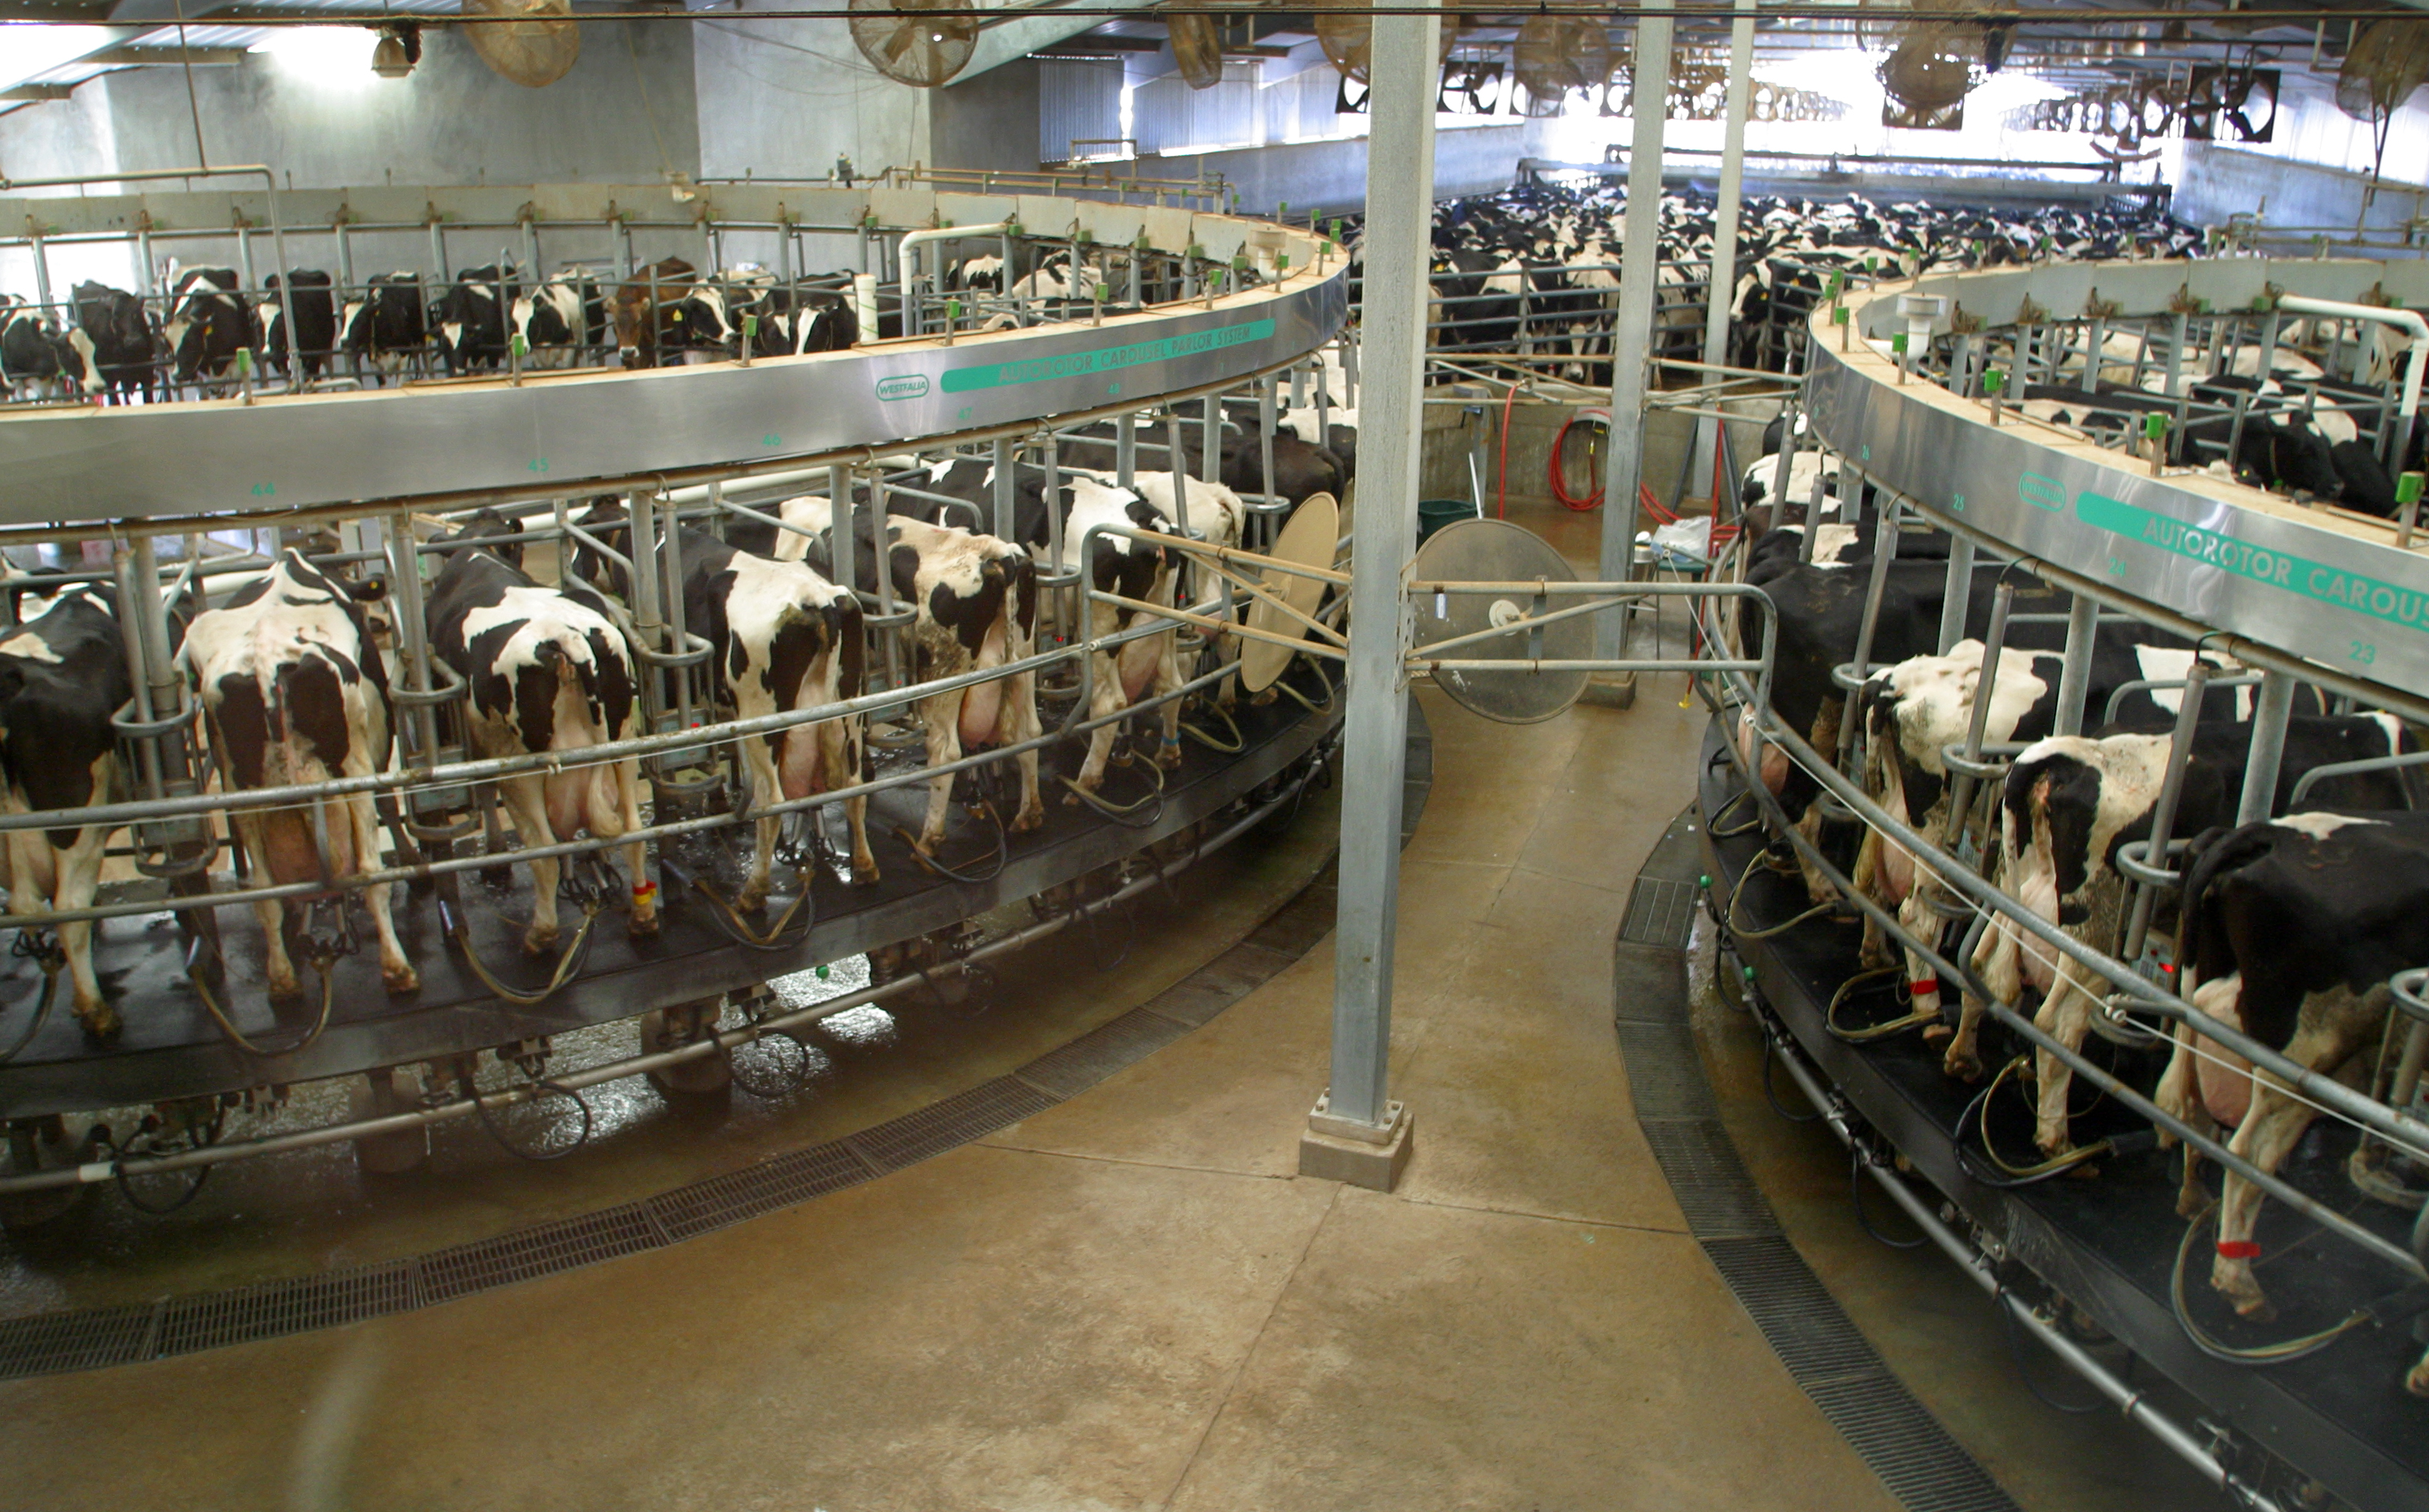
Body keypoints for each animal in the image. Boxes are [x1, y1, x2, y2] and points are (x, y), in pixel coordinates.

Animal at [183, 551, 417, 1000]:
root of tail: (265, 660)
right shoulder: (377, 751)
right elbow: (388, 806)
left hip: (240, 789)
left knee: (264, 892)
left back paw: (282, 979)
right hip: (352, 768)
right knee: (370, 871)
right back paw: (398, 970)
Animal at [422, 514, 660, 951]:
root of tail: (566, 636)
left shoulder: (481, 739)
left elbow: (484, 794)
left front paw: (496, 859)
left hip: (520, 764)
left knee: (543, 850)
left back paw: (541, 933)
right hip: (622, 739)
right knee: (632, 830)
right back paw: (642, 916)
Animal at [2176, 810, 2429, 1398]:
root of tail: (2275, 832)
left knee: (2193, 1074)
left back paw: (2194, 1195)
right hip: (2315, 1038)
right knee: (2249, 1152)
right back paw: (2241, 1285)